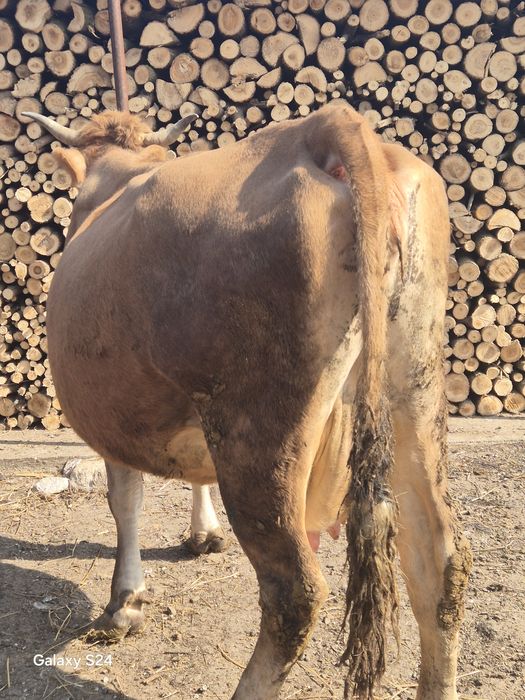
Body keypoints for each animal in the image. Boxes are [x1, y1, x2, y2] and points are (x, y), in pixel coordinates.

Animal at [25, 103, 472, 700]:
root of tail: (324, 127)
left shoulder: (116, 413)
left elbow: (125, 501)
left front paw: (124, 604)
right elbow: (193, 477)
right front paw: (203, 533)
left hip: (259, 431)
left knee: (295, 593)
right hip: (414, 392)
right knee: (439, 566)